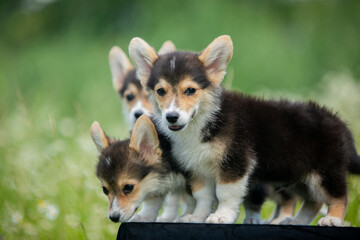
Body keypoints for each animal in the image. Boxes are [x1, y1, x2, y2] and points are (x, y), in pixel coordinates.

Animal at [129, 35, 360, 225]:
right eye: (160, 91)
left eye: (190, 90)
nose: (171, 116)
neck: (205, 120)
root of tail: (341, 124)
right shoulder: (198, 169)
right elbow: (202, 197)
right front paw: (195, 217)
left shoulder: (235, 162)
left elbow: (225, 194)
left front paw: (221, 216)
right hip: (298, 176)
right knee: (313, 202)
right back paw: (296, 221)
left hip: (325, 172)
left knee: (339, 195)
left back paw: (332, 219)